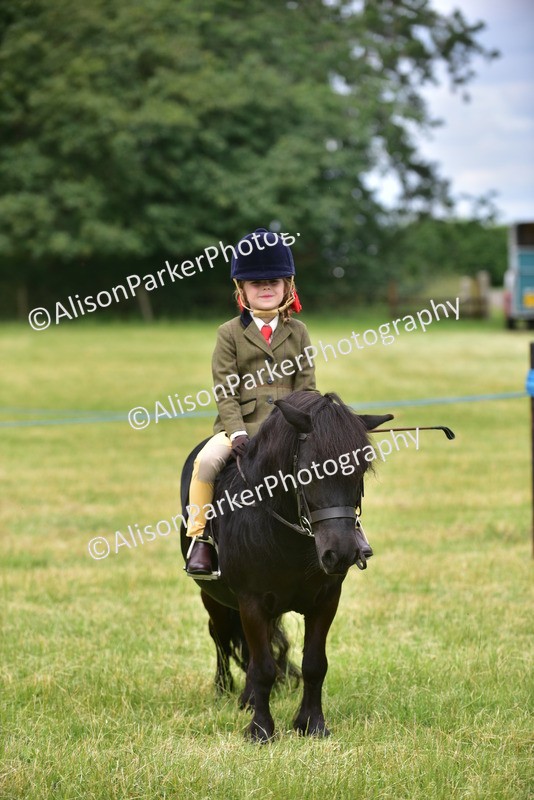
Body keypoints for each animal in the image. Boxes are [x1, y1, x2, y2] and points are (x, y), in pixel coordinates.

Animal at [180, 390, 393, 742]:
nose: (341, 553)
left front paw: (312, 724)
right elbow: (263, 666)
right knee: (220, 636)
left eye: (361, 469)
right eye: (308, 471)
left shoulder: (326, 601)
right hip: (214, 596)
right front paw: (261, 730)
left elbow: (314, 664)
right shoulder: (251, 602)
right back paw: (224, 689)